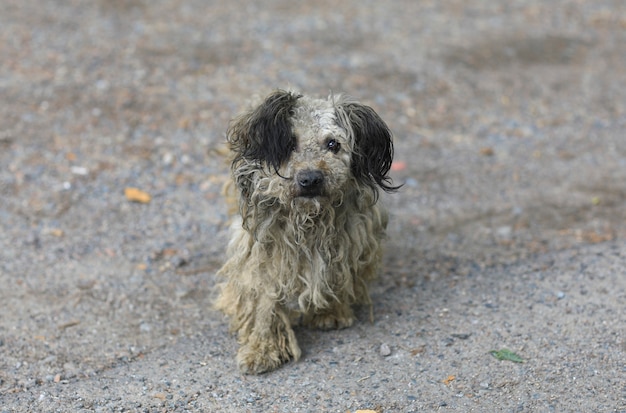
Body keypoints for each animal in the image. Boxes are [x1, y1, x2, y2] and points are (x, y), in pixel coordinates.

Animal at [214, 90, 398, 374]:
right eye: (289, 143)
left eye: (333, 144)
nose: (310, 179)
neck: (308, 220)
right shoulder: (263, 254)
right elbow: (264, 301)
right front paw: (262, 349)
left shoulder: (349, 239)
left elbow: (336, 272)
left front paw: (330, 311)